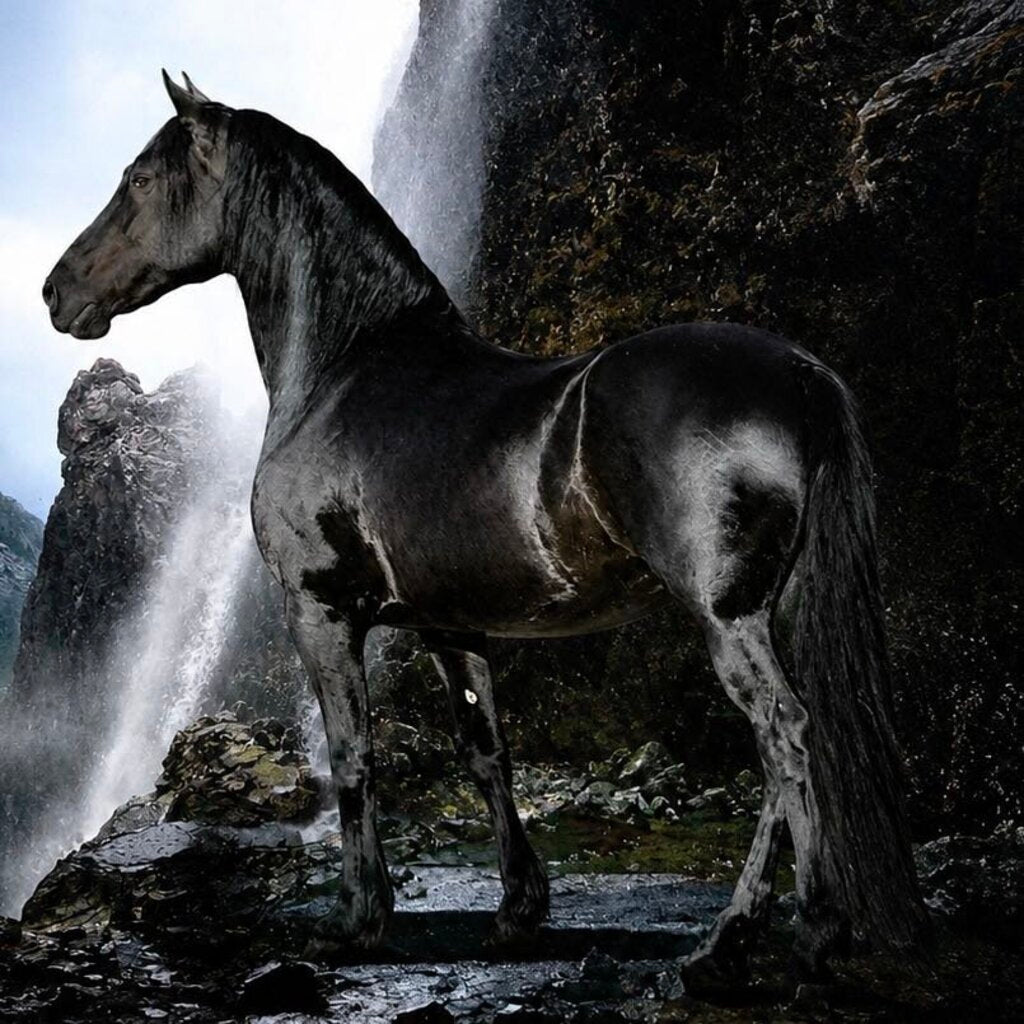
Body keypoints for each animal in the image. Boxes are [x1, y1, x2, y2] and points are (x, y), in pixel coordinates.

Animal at [43, 73, 928, 982]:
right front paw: (517, 911)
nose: (55, 293)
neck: (346, 369)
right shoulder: (450, 627)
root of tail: (800, 372)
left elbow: (352, 756)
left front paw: (358, 919)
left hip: (728, 617)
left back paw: (757, 935)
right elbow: (484, 751)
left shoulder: (321, 612)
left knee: (785, 739)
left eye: (140, 179)